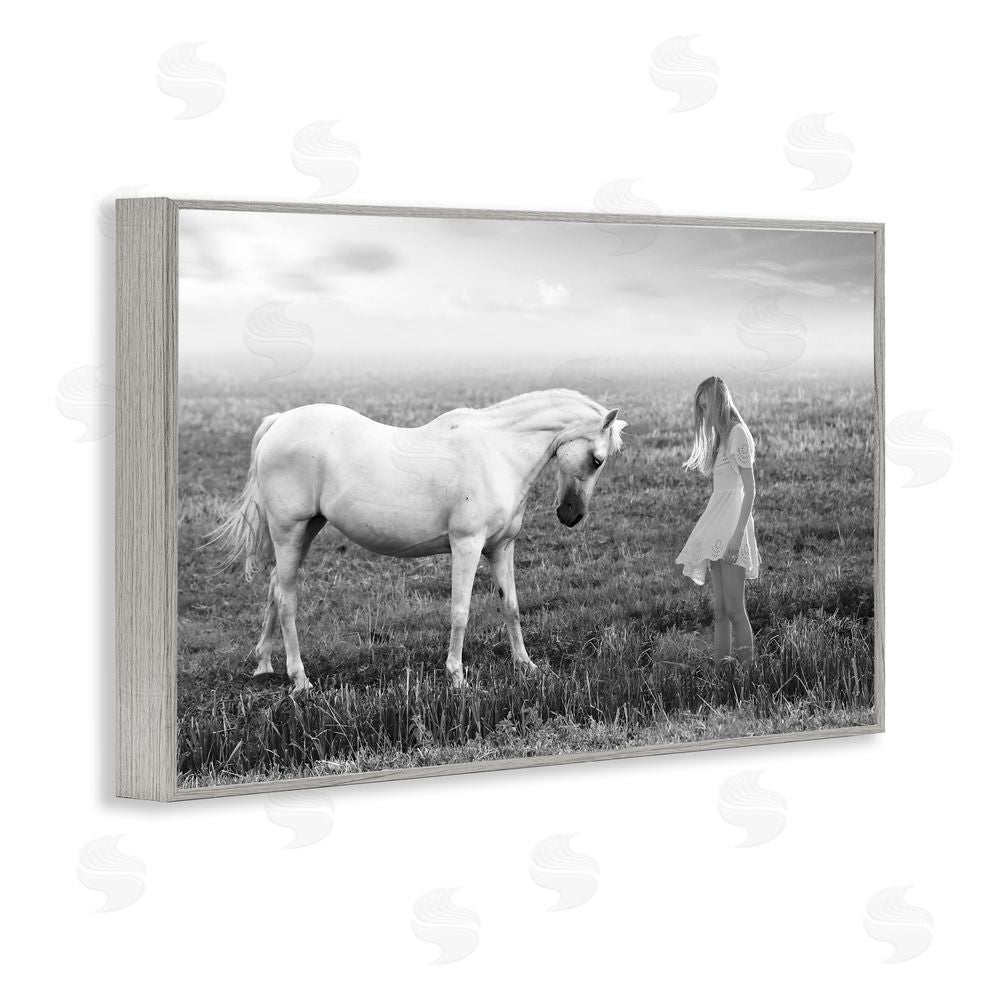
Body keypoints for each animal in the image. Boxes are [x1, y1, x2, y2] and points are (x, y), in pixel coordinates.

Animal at [204, 388, 628, 694]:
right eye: (596, 459)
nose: (571, 515)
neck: (497, 453)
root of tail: (279, 423)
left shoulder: (500, 548)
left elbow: (512, 607)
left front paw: (526, 666)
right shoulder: (467, 545)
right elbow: (460, 612)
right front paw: (457, 676)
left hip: (308, 529)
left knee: (275, 588)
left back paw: (264, 664)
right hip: (289, 530)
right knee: (288, 600)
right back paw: (299, 680)